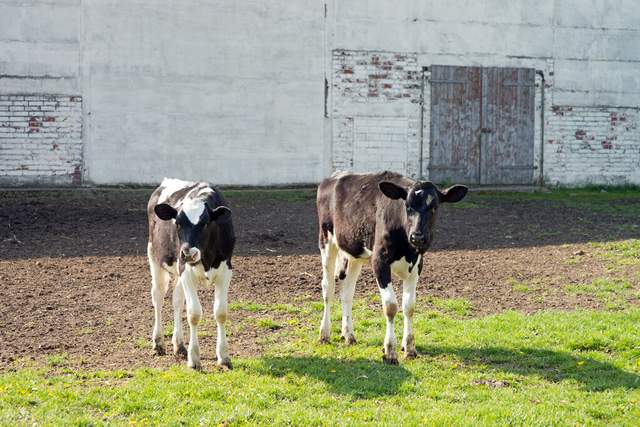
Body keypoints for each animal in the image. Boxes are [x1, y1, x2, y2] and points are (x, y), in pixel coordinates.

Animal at [147, 178, 235, 372]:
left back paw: (179, 345)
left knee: (177, 301)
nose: (188, 253)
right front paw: (194, 358)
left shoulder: (226, 270)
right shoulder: (185, 270)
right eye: (178, 223)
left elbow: (221, 312)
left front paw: (224, 357)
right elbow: (193, 314)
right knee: (158, 297)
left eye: (205, 223)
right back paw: (158, 343)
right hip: (155, 257)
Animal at [318, 171, 468, 364]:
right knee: (328, 289)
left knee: (347, 293)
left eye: (434, 207)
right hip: (326, 240)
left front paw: (409, 348)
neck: (406, 246)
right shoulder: (379, 261)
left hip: (355, 252)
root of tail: (335, 175)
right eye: (408, 206)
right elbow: (390, 306)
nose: (417, 237)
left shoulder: (417, 265)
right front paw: (390, 351)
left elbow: (409, 306)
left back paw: (349, 335)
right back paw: (324, 334)